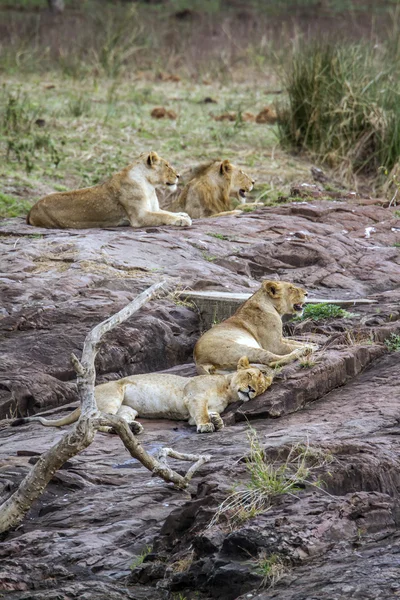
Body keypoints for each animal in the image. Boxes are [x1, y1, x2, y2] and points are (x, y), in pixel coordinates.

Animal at [13, 358, 276, 434]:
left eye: (262, 387)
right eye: (250, 375)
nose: (252, 390)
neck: (227, 391)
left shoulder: (194, 409)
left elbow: (206, 414)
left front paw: (218, 421)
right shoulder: (194, 395)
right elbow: (201, 413)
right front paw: (206, 426)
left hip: (128, 408)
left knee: (118, 420)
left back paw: (133, 428)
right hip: (112, 396)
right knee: (94, 422)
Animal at [26, 152, 192, 230]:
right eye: (167, 165)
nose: (179, 175)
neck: (150, 186)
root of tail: (31, 209)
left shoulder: (153, 208)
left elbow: (166, 212)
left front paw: (182, 214)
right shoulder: (139, 217)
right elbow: (164, 216)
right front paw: (182, 220)